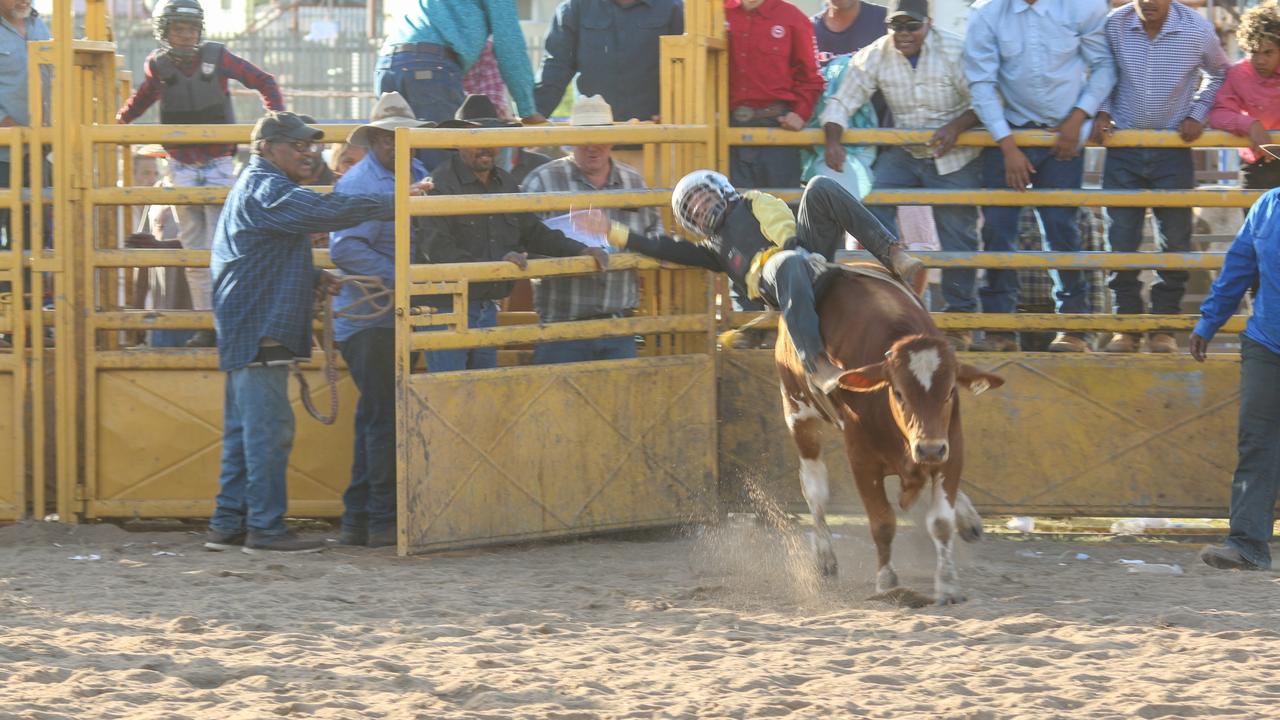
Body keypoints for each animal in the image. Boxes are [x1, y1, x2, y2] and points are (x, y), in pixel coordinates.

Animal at [773, 263, 1003, 599]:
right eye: (898, 393)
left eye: (949, 391)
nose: (928, 448)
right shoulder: (862, 460)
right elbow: (881, 521)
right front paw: (886, 580)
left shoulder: (952, 448)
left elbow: (941, 521)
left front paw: (948, 582)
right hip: (798, 413)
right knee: (815, 489)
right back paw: (825, 556)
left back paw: (967, 519)